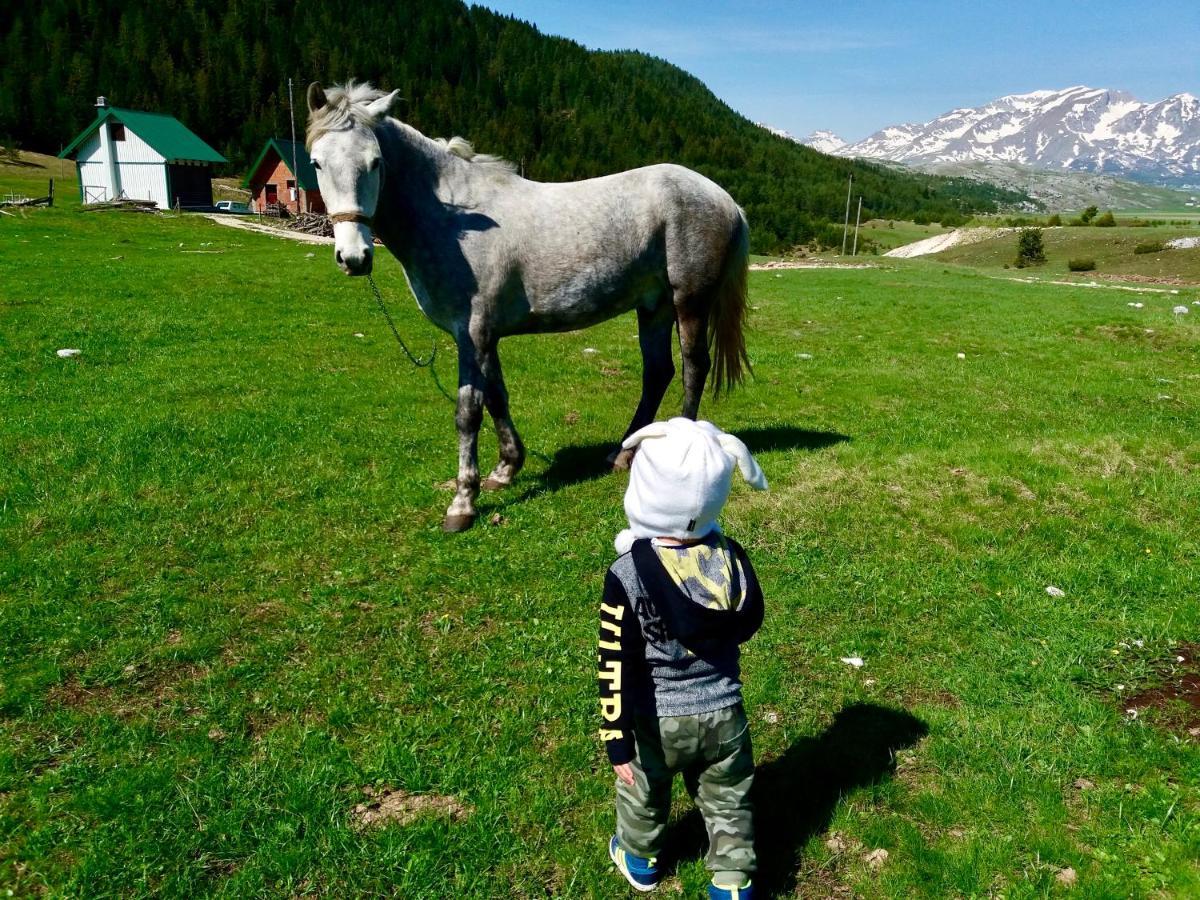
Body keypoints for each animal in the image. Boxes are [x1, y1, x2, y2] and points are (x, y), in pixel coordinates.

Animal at [302, 81, 748, 532]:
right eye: (317, 162)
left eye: (375, 162)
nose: (354, 257)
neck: (455, 222)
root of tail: (725, 199)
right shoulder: (485, 336)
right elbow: (497, 397)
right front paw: (505, 469)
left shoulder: (472, 333)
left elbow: (468, 411)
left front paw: (463, 502)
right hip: (654, 306)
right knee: (658, 373)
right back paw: (621, 454)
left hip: (688, 302)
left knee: (693, 368)